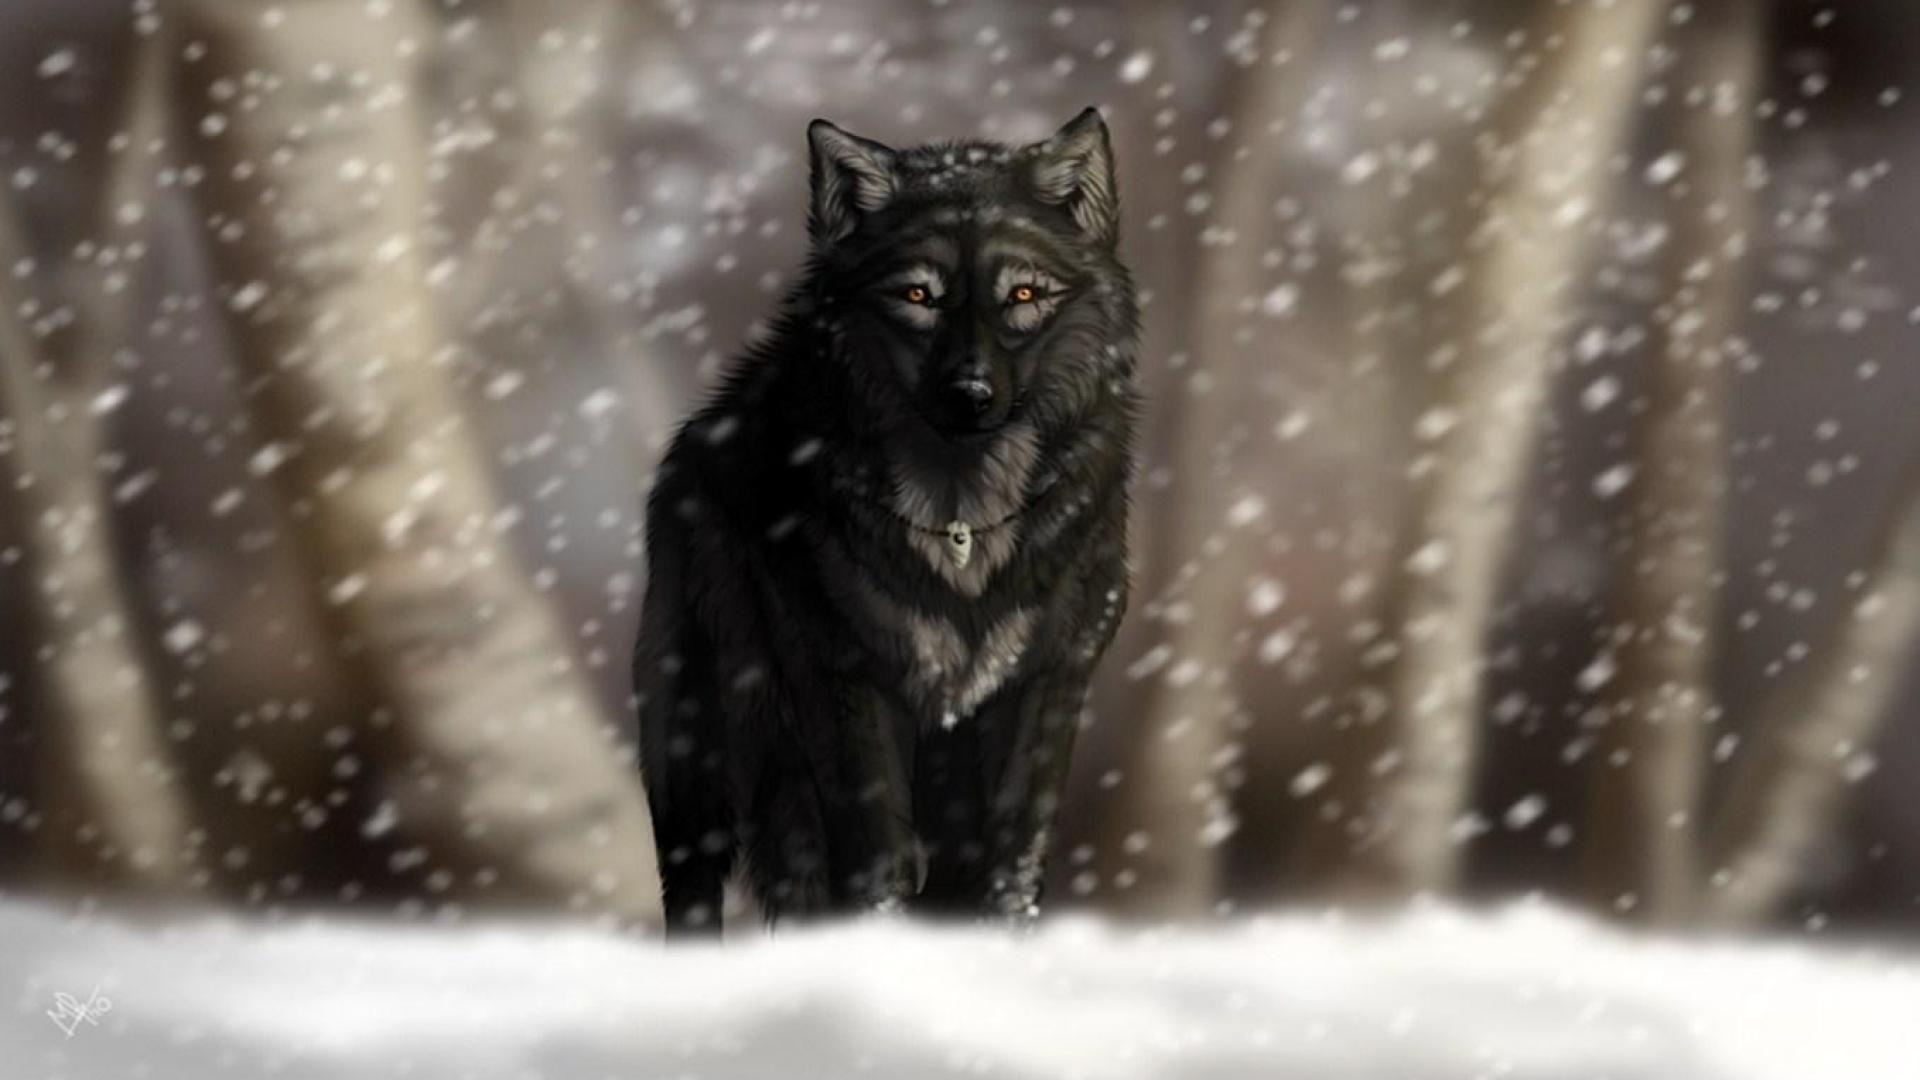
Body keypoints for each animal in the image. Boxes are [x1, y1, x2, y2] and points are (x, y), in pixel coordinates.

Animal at [633, 107, 1138, 936]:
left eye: (1022, 293)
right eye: (918, 295)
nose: (971, 392)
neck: (963, 524)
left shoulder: (1047, 680)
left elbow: (1010, 861)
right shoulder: (846, 681)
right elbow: (877, 861)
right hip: (697, 751)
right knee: (699, 882)